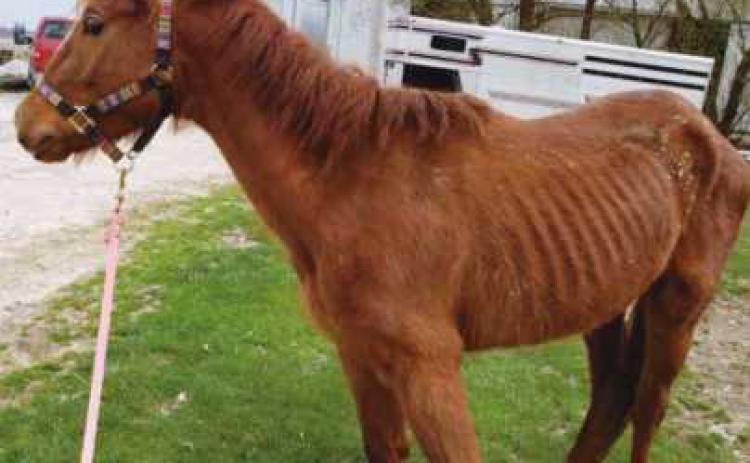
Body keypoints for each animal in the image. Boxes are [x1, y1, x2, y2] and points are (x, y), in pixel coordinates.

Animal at [14, 0, 750, 461]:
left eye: (95, 23)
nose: (27, 127)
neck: (352, 179)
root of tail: (712, 136)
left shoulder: (430, 369)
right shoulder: (361, 356)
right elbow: (385, 449)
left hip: (677, 307)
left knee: (647, 410)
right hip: (603, 304)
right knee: (608, 405)